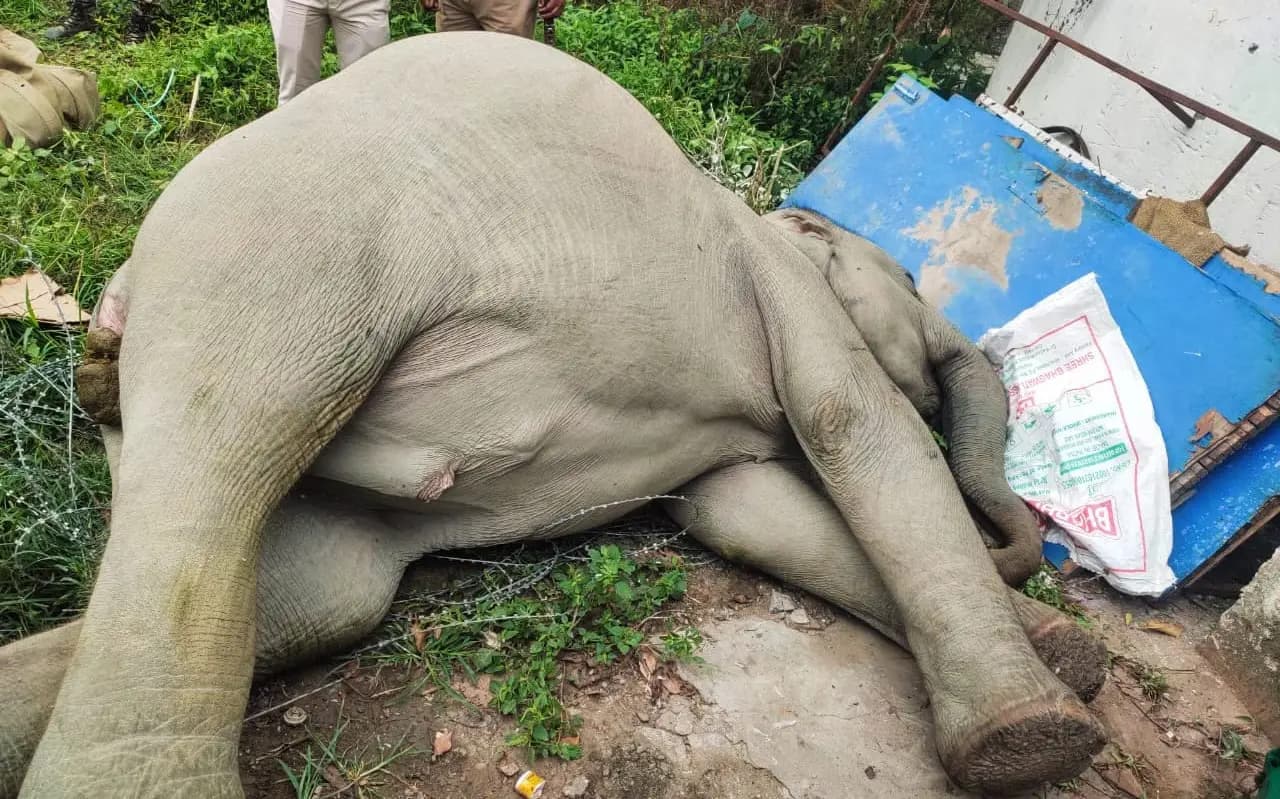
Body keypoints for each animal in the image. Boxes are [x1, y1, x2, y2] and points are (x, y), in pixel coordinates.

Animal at [1, 32, 1107, 798]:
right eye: (913, 277)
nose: (1032, 548)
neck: (765, 217)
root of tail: (119, 297)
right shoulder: (780, 282)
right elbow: (853, 421)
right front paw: (1038, 738)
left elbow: (745, 513)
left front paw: (1074, 666)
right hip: (274, 257)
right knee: (223, 466)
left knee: (318, 589)